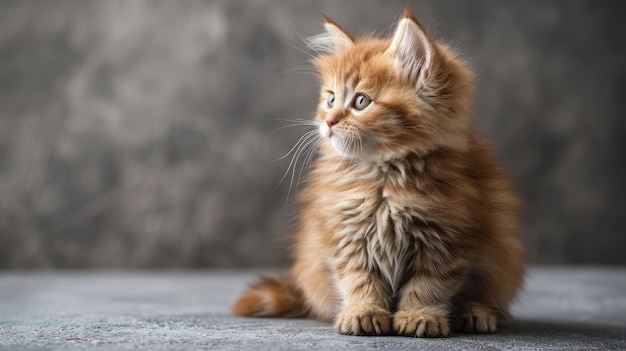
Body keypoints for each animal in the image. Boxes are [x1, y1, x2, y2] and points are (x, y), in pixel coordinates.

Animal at [232, 4, 524, 336]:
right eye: (330, 99)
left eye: (361, 101)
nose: (328, 121)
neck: (383, 176)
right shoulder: (346, 235)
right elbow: (359, 280)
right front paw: (364, 311)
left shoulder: (449, 238)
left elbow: (429, 285)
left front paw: (419, 315)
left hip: (503, 257)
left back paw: (476, 312)